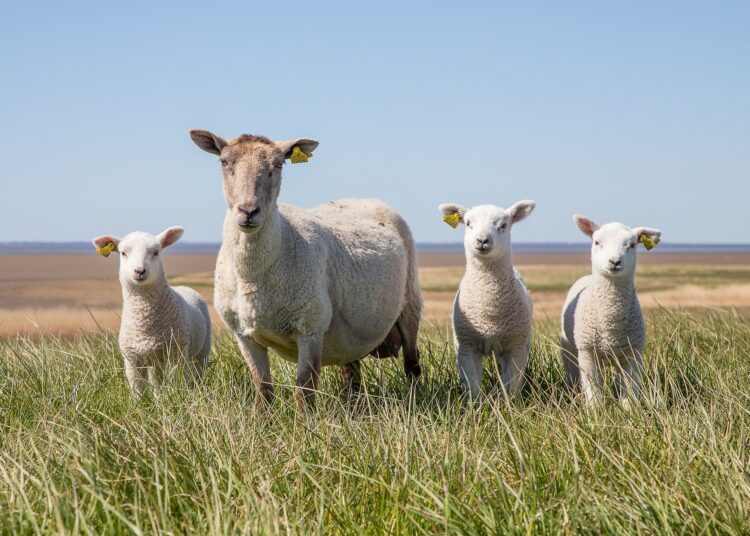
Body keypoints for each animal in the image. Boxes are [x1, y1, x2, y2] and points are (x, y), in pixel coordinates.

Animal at [91, 227, 212, 398]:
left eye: (156, 252)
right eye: (123, 253)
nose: (139, 271)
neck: (145, 323)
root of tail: (183, 286)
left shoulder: (176, 353)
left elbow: (176, 381)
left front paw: (176, 397)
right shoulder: (131, 359)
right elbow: (137, 390)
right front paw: (141, 404)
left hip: (201, 350)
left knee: (197, 371)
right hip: (155, 359)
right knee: (157, 380)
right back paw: (159, 398)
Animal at [189, 130, 422, 409]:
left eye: (279, 164)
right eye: (224, 162)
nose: (248, 211)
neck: (253, 275)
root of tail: (362, 199)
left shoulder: (310, 328)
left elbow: (305, 389)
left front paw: (306, 420)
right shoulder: (244, 335)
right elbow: (262, 389)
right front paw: (263, 418)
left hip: (410, 303)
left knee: (412, 365)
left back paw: (414, 402)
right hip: (349, 335)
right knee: (351, 373)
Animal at [438, 200, 536, 398]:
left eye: (504, 225)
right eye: (468, 223)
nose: (482, 240)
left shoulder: (516, 347)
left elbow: (512, 387)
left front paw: (511, 404)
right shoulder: (466, 347)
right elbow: (472, 387)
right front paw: (475, 404)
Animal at [560, 215, 662, 406]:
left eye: (632, 245)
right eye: (597, 242)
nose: (614, 262)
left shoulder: (632, 355)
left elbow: (629, 391)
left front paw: (629, 412)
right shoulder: (588, 354)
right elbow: (594, 394)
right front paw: (595, 412)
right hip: (569, 350)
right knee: (573, 375)